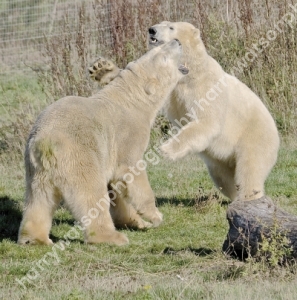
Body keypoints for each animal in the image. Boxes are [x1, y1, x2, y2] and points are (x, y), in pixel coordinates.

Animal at [17, 39, 188, 246]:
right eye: (161, 54)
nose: (176, 41)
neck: (131, 99)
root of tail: (45, 143)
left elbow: (116, 189)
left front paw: (137, 222)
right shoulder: (127, 136)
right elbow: (130, 171)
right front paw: (154, 216)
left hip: (36, 169)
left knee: (39, 200)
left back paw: (34, 239)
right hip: (80, 156)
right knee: (91, 195)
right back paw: (111, 237)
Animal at [89, 21, 278, 203]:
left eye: (171, 27)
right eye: (160, 22)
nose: (151, 30)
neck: (192, 71)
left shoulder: (207, 86)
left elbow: (207, 121)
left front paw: (166, 149)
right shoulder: (174, 87)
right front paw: (101, 69)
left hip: (254, 137)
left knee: (250, 169)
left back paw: (248, 198)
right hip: (219, 161)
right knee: (223, 177)